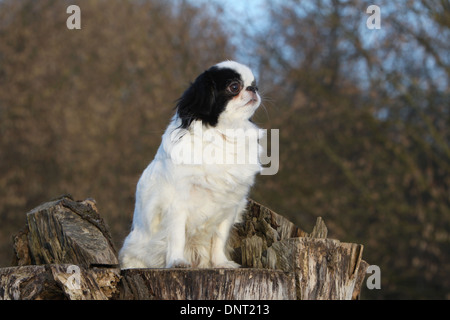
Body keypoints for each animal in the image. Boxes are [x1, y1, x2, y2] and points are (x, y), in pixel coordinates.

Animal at [118, 59, 262, 268]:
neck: (223, 134)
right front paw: (177, 261)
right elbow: (177, 236)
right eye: (234, 87)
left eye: (254, 84)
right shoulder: (177, 205)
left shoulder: (229, 206)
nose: (254, 89)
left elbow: (219, 238)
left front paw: (221, 263)